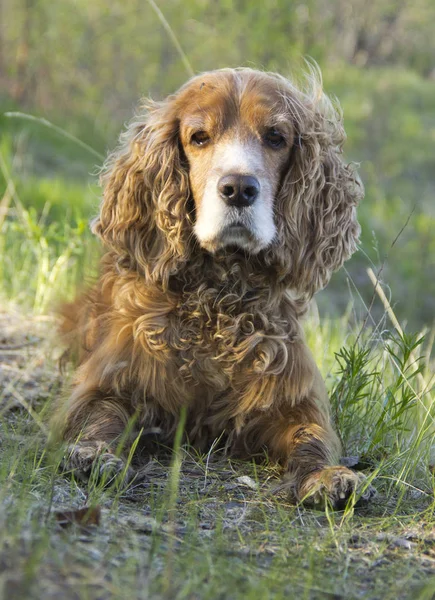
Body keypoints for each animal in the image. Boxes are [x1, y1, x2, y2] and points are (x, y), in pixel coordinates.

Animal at [52, 67, 374, 506]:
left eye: (276, 137)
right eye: (199, 137)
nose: (238, 188)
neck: (219, 298)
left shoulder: (292, 397)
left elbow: (312, 436)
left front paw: (326, 476)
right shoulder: (111, 380)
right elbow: (98, 416)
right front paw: (94, 455)